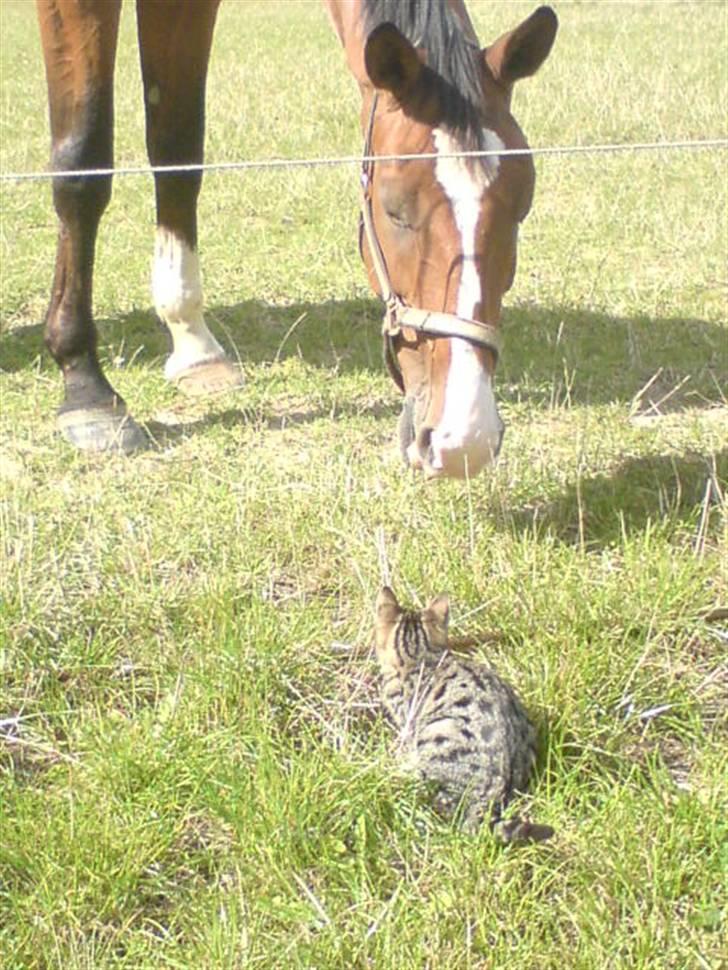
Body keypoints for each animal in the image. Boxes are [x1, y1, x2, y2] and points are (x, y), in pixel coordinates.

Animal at [35, 1, 556, 478]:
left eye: (522, 205)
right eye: (394, 210)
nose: (463, 438)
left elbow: (177, 151)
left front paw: (193, 343)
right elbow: (83, 166)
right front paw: (86, 385)